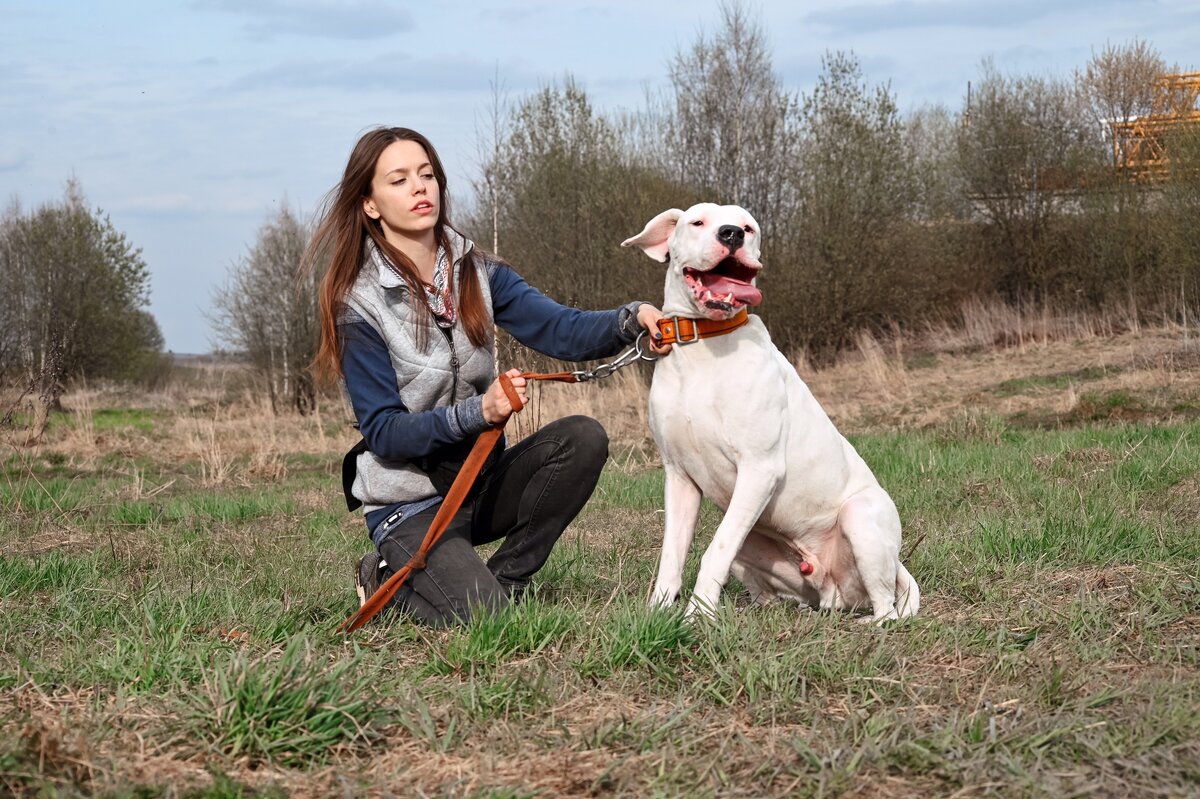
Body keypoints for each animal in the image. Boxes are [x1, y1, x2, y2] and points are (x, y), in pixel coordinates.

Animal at [619, 202, 916, 619]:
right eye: (697, 222)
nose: (730, 234)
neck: (704, 346)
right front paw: (659, 613)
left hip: (860, 519)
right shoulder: (679, 477)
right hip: (755, 548)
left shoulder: (759, 469)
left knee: (885, 604)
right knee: (772, 591)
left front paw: (697, 615)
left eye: (748, 227)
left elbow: (714, 552)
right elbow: (672, 555)